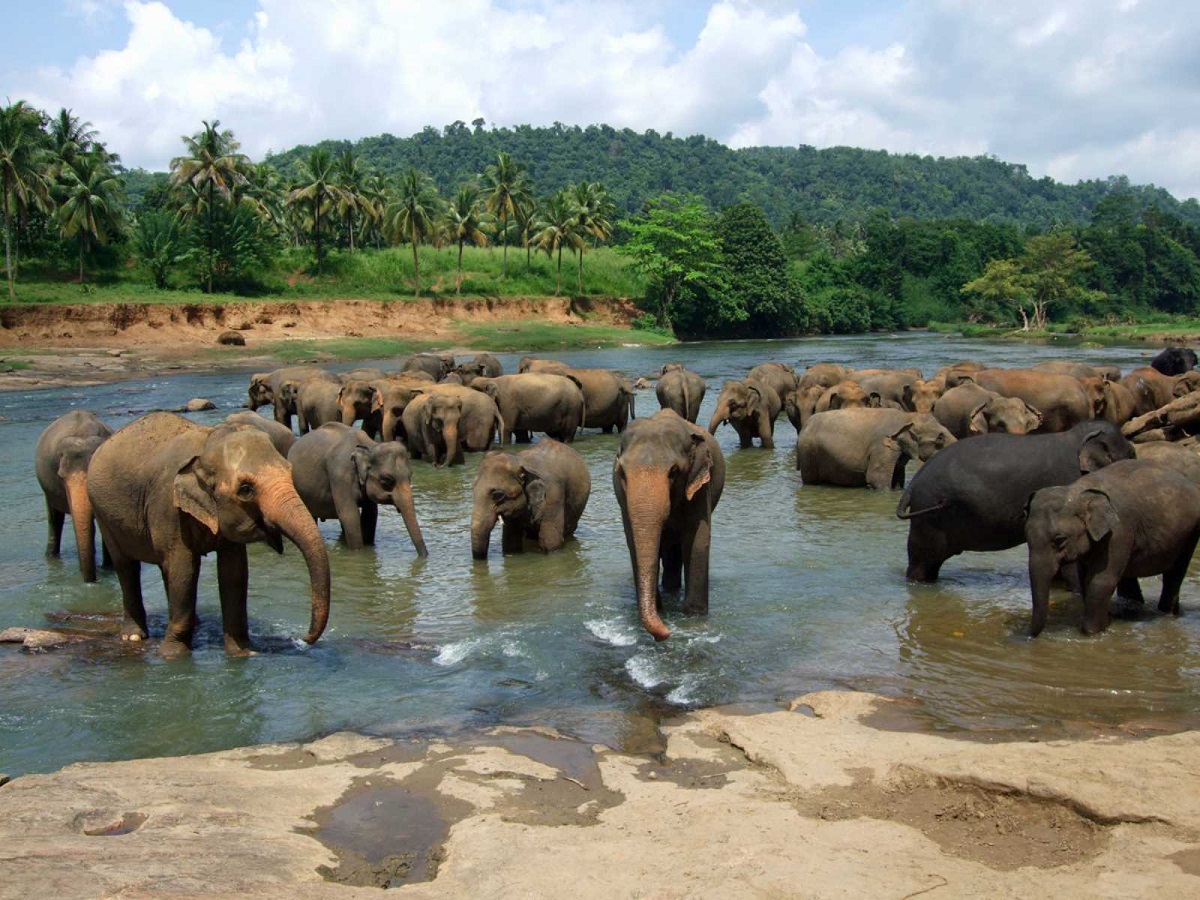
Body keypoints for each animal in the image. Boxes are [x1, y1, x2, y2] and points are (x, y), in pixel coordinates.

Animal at [86, 412, 331, 657]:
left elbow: (234, 572)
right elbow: (184, 569)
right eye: (245, 489)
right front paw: (173, 655)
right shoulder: (167, 507)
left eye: (290, 471)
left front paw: (243, 653)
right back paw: (134, 636)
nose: (304, 639)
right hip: (103, 514)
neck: (207, 442)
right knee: (127, 567)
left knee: (164, 568)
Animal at [288, 423, 427, 555]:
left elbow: (370, 514)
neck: (369, 447)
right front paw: (358, 553)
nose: (425, 556)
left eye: (410, 476)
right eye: (386, 480)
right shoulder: (340, 475)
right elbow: (350, 516)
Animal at [614, 409, 726, 642]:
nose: (666, 633)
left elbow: (697, 539)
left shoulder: (700, 487)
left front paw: (694, 618)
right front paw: (659, 610)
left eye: (674, 471)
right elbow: (633, 543)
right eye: (622, 473)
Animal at [796, 409, 955, 489]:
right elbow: (876, 479)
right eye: (940, 438)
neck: (907, 416)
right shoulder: (882, 447)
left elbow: (898, 479)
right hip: (808, 453)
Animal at [1025, 460, 1200, 636]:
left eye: (1059, 540)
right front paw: (1106, 623)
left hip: (1189, 535)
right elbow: (1085, 578)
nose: (1030, 636)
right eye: (1027, 538)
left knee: (1175, 574)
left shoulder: (1119, 532)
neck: (1079, 490)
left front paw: (1091, 632)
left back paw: (1167, 614)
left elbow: (1101, 580)